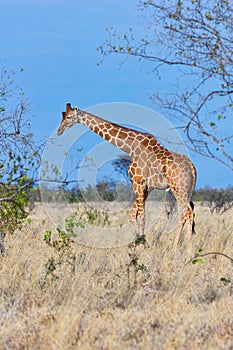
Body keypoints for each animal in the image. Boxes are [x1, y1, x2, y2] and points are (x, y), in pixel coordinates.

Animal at [57, 102, 196, 250]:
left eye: (69, 117)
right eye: (62, 115)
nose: (59, 131)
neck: (130, 148)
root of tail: (192, 168)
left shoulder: (138, 182)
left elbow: (142, 216)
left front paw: (142, 242)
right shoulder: (147, 187)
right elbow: (132, 214)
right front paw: (140, 240)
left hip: (178, 188)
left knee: (185, 213)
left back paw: (176, 248)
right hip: (188, 190)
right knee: (190, 213)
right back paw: (189, 247)